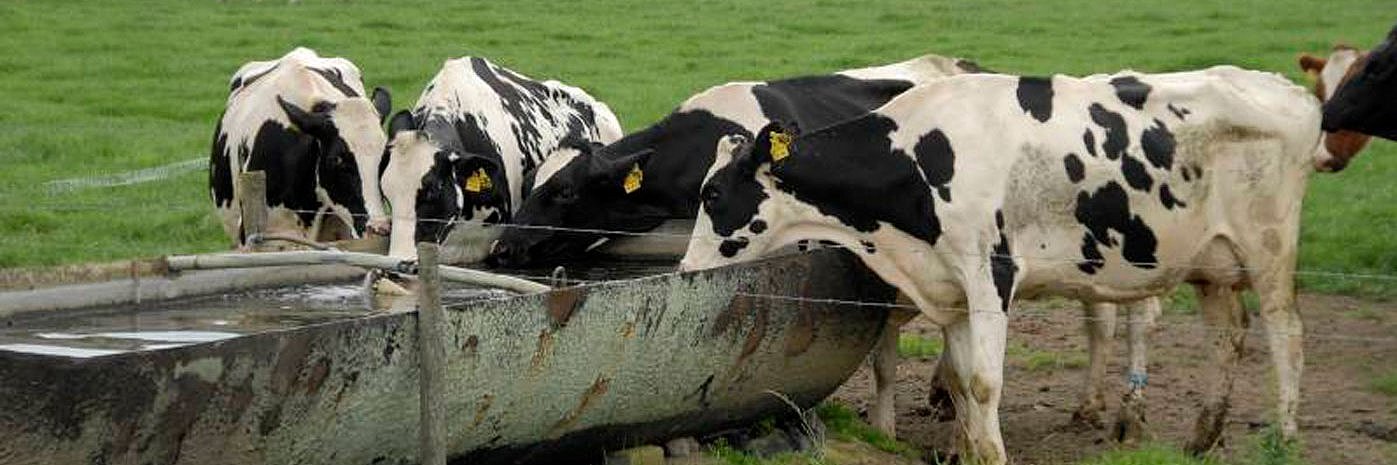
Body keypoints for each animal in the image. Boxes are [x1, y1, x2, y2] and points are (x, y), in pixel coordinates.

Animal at [681, 67, 1335, 460]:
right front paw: (967, 450)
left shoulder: (989, 273)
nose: (685, 271)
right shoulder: (948, 288)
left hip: (1269, 247)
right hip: (1210, 262)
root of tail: (1291, 91)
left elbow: (984, 382)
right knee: (1229, 336)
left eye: (711, 195)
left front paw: (990, 454)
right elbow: (963, 381)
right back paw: (1202, 436)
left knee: (1288, 334)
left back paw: (1284, 436)